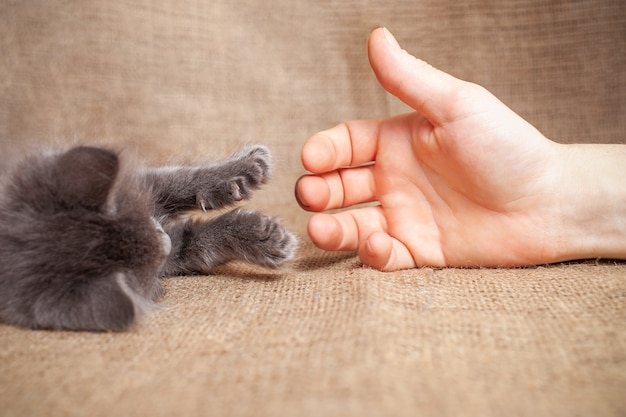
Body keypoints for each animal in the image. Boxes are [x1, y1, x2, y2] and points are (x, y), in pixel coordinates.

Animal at [0, 145, 296, 330]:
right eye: (140, 271)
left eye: (127, 210)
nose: (165, 242)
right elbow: (198, 243)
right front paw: (270, 239)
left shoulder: (142, 185)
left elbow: (178, 179)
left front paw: (249, 166)